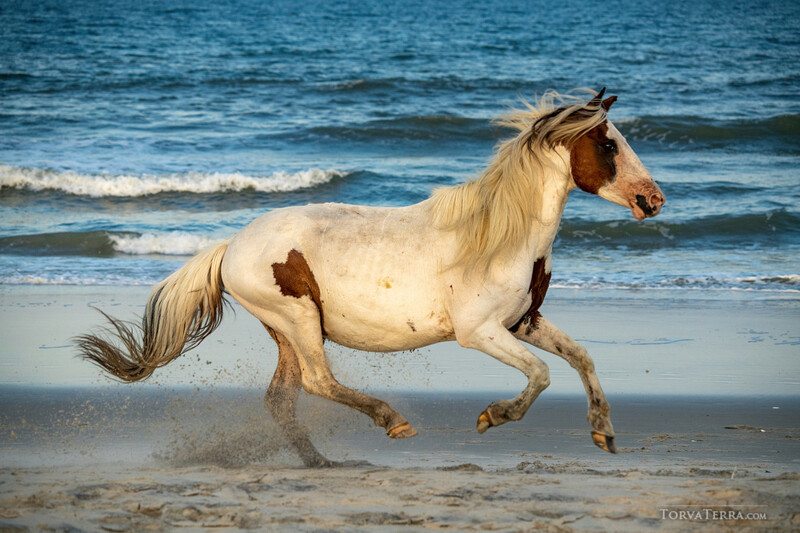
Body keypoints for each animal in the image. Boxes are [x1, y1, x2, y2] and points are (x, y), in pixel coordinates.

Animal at [76, 88, 665, 467]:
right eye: (609, 144)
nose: (653, 200)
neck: (502, 239)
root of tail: (231, 247)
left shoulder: (523, 323)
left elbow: (582, 358)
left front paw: (604, 434)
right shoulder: (480, 333)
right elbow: (541, 375)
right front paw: (493, 417)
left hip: (285, 330)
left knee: (283, 399)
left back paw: (322, 463)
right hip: (296, 318)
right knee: (317, 382)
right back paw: (392, 422)